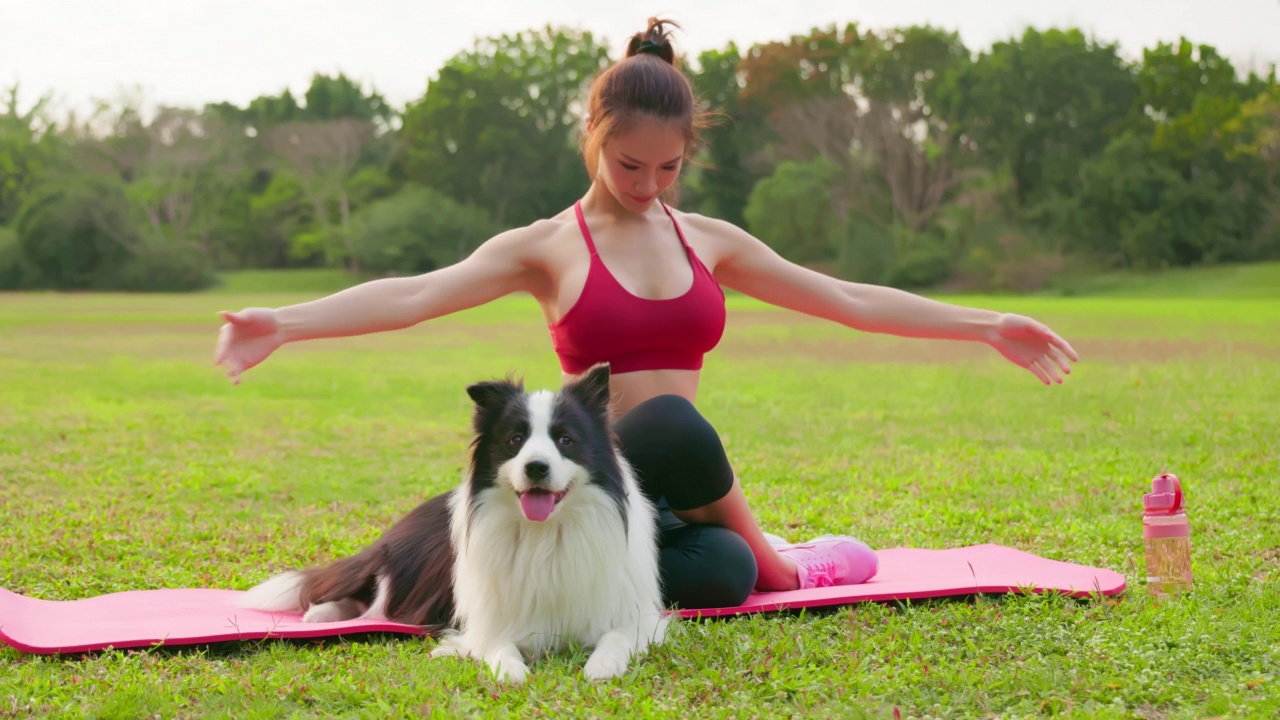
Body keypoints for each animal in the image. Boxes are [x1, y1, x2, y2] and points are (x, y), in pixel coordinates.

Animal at [239, 363, 670, 676]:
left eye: (566, 439)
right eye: (515, 440)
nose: (535, 467)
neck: (545, 532)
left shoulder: (636, 616)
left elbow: (616, 639)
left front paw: (602, 666)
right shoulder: (489, 619)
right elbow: (498, 646)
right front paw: (510, 671)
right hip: (405, 563)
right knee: (373, 596)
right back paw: (323, 613)